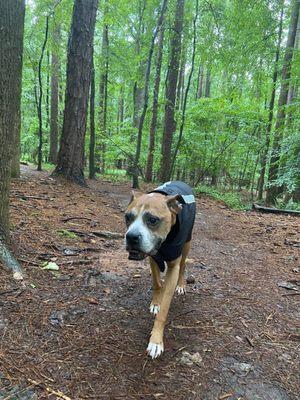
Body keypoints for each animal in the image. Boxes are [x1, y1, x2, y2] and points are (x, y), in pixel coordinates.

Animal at [123, 181, 195, 360]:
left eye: (152, 220)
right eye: (128, 217)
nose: (131, 237)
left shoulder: (173, 266)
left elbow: (164, 310)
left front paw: (156, 341)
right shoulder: (152, 258)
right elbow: (156, 283)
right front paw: (156, 302)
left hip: (187, 244)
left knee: (183, 265)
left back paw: (181, 285)